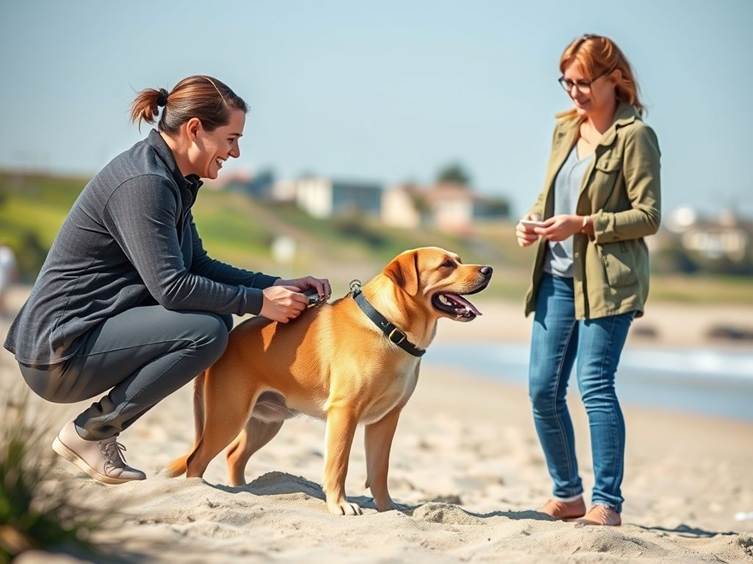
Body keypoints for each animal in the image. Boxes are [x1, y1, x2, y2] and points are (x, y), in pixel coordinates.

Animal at [167, 247, 490, 516]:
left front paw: (388, 509)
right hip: (228, 416)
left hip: (266, 422)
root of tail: (230, 340)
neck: (388, 327)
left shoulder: (386, 419)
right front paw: (340, 505)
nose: (488, 269)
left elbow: (380, 470)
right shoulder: (344, 412)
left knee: (234, 456)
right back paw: (198, 491)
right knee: (197, 460)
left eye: (459, 259)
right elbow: (338, 465)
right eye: (446, 265)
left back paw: (243, 491)